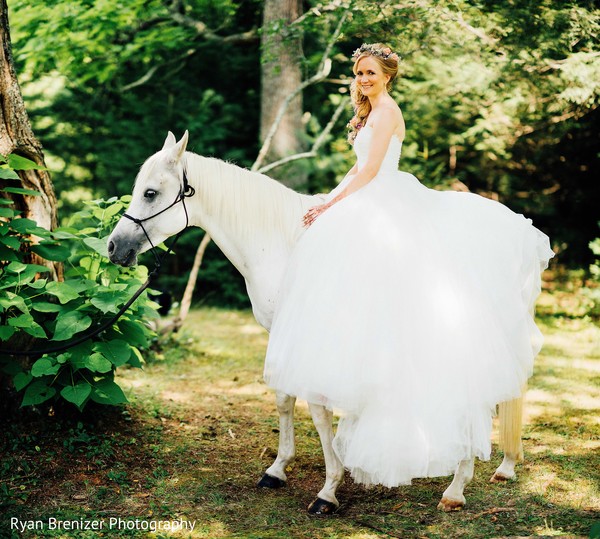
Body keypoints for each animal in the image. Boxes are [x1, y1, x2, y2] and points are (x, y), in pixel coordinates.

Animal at [106, 131, 524, 516]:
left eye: (150, 193)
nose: (112, 247)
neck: (282, 242)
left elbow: (320, 412)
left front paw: (329, 489)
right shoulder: (280, 333)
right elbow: (284, 399)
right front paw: (277, 470)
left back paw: (457, 487)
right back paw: (500, 466)